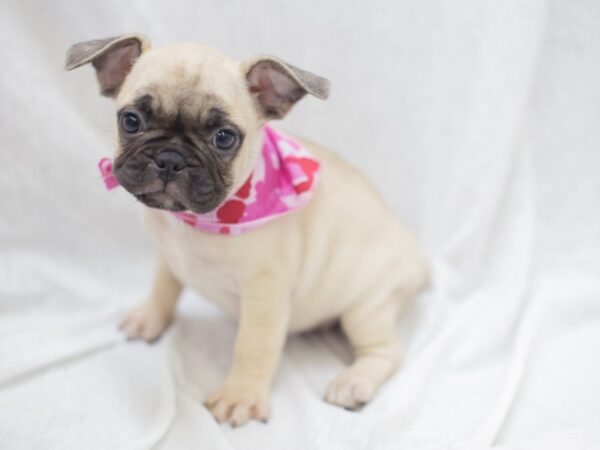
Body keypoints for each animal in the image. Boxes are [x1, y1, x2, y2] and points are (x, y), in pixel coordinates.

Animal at [65, 34, 426, 426]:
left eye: (224, 138)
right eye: (130, 121)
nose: (170, 159)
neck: (198, 221)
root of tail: (420, 264)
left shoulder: (264, 295)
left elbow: (252, 346)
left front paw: (241, 396)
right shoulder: (167, 255)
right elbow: (163, 286)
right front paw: (149, 318)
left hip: (369, 307)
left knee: (386, 351)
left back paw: (353, 382)